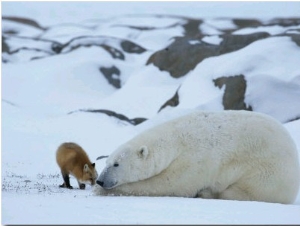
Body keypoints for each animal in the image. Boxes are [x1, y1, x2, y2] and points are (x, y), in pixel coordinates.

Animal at [94, 110, 300, 204]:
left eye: (116, 164)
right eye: (107, 161)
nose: (100, 181)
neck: (176, 141)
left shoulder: (195, 161)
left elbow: (170, 184)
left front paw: (102, 191)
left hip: (267, 172)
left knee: (242, 191)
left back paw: (207, 193)